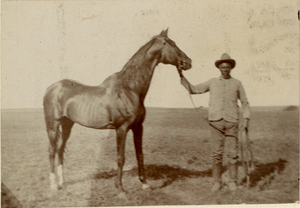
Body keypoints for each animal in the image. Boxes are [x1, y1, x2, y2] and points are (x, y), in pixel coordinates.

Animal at [43, 28, 191, 193]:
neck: (129, 89)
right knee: (51, 150)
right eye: (172, 44)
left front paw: (144, 183)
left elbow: (140, 154)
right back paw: (53, 185)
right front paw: (119, 187)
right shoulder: (121, 128)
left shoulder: (138, 127)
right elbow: (121, 158)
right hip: (52, 125)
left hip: (67, 124)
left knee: (60, 149)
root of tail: (51, 88)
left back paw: (62, 183)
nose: (188, 62)